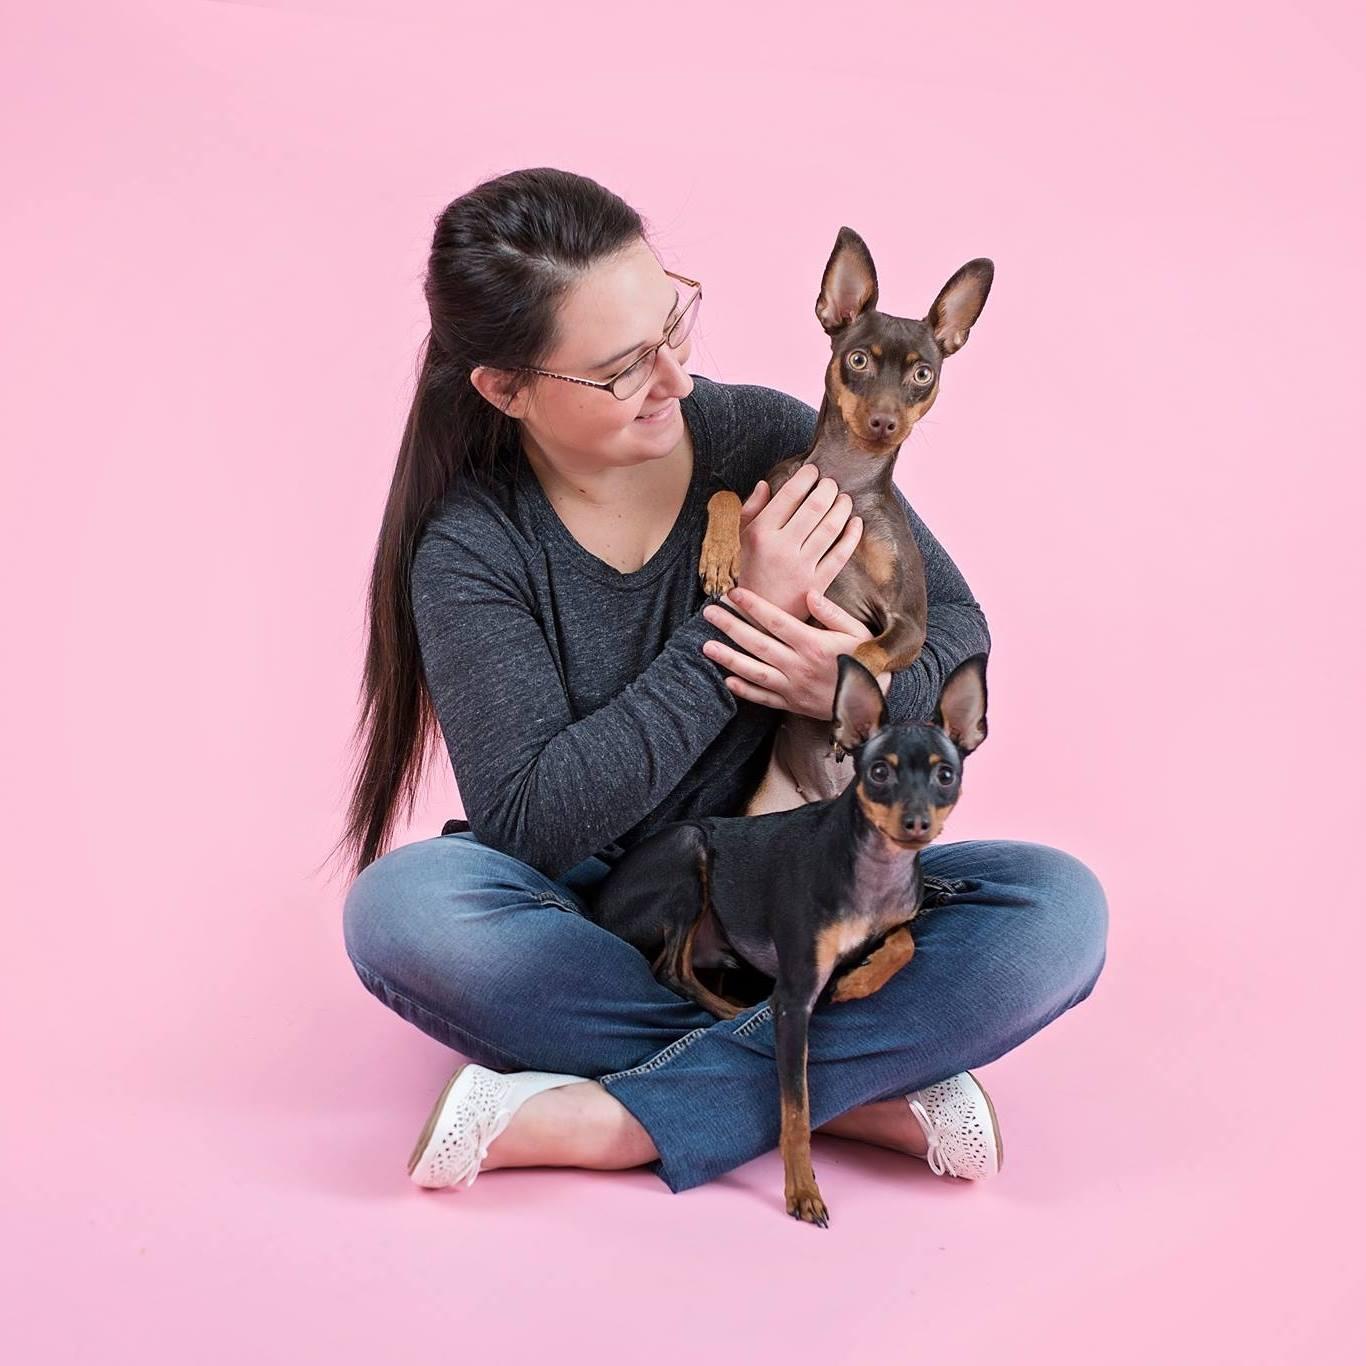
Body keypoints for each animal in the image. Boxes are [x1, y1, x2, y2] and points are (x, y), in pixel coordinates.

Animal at [581, 650, 988, 1229]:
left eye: (946, 775)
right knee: (670, 970)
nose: (916, 822)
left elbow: (903, 942)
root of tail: (597, 900)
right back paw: (735, 1012)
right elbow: (796, 1107)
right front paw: (802, 1190)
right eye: (879, 772)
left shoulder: (898, 918)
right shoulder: (796, 998)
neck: (875, 869)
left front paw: (860, 980)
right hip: (689, 851)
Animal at [704, 229, 994, 814]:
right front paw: (719, 555)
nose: (884, 421)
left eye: (923, 374)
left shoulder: (908, 623)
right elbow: (723, 492)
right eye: (857, 360)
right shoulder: (767, 495)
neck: (844, 480)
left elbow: (862, 651)